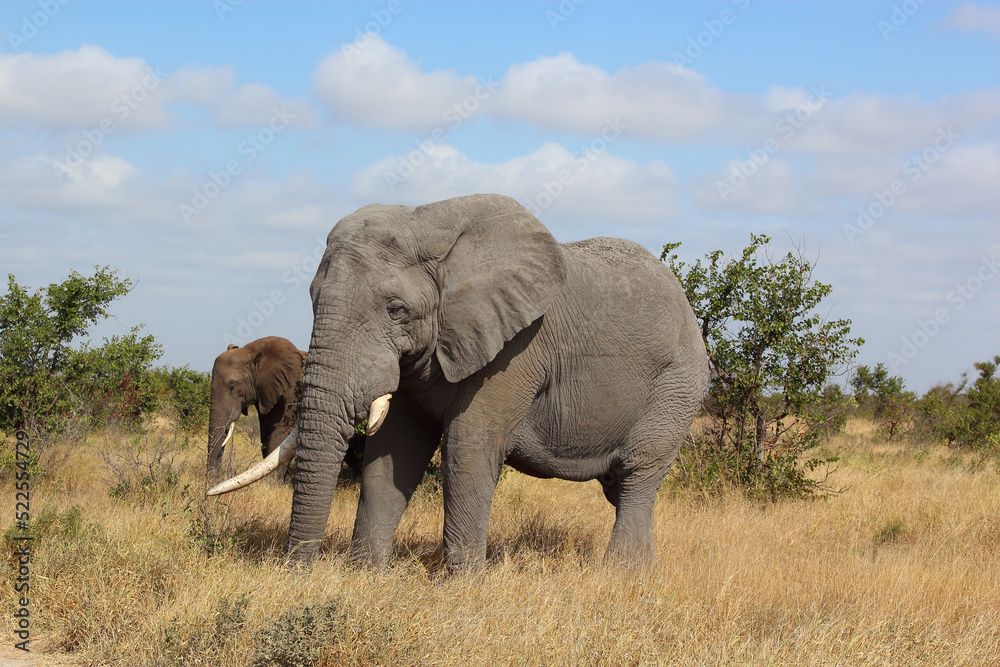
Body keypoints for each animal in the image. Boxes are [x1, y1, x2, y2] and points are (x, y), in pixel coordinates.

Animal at [205, 340, 366, 486]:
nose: (213, 479)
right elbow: (266, 435)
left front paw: (270, 486)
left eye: (232, 386)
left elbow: (281, 433)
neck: (252, 352)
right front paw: (281, 482)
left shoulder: (292, 391)